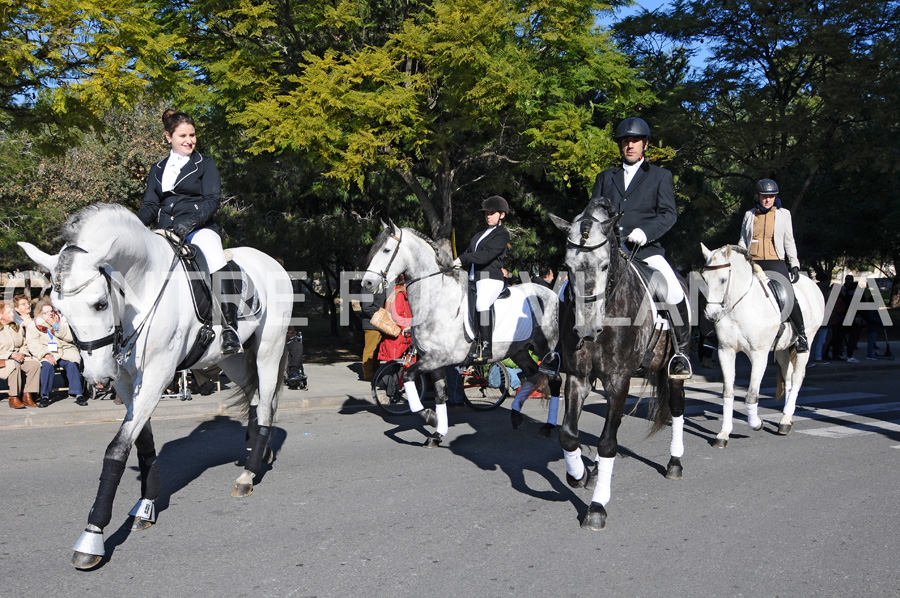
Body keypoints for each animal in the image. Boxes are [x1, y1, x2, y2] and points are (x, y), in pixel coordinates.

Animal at [19, 204, 292, 568]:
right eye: (59, 310)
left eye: (100, 303)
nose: (96, 378)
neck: (143, 289)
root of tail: (270, 261)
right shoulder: (126, 381)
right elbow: (142, 441)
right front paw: (145, 505)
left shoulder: (157, 375)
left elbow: (117, 448)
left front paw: (92, 535)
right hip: (230, 359)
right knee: (255, 395)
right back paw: (258, 453)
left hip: (268, 348)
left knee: (266, 398)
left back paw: (247, 474)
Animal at [700, 243, 828, 446]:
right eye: (704, 278)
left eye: (723, 280)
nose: (711, 315)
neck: (739, 308)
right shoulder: (725, 352)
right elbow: (728, 392)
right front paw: (723, 434)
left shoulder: (759, 355)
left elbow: (751, 395)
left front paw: (756, 423)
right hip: (782, 348)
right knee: (788, 377)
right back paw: (786, 419)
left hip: (808, 340)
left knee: (797, 377)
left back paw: (785, 420)